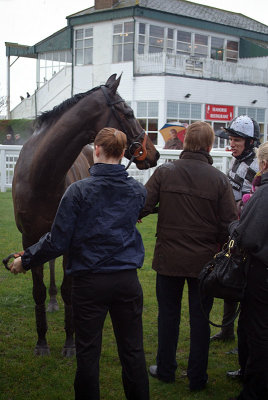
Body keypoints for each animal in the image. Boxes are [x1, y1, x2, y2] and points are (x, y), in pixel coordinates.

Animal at [12, 73, 159, 354]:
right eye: (129, 112)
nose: (154, 154)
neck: (41, 176)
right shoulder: (29, 239)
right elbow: (38, 289)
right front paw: (42, 341)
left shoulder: (68, 240)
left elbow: (69, 289)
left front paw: (70, 342)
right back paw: (52, 303)